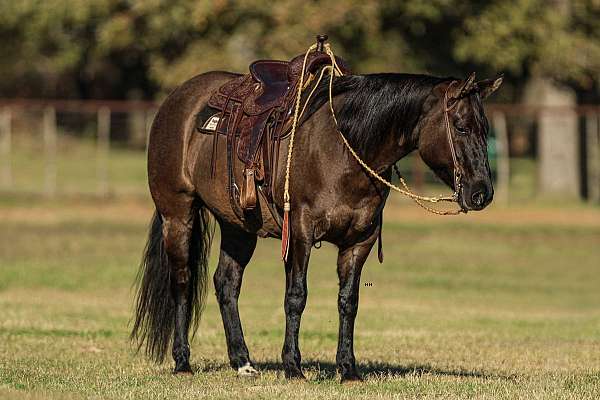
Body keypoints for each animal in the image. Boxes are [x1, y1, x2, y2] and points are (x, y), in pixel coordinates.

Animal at [130, 58, 502, 382]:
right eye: (460, 126)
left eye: (485, 129)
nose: (482, 193)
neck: (344, 146)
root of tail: (177, 100)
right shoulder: (300, 232)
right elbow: (296, 296)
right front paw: (293, 367)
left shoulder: (360, 240)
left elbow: (348, 302)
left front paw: (348, 369)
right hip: (178, 215)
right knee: (182, 281)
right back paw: (182, 361)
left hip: (238, 226)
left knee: (226, 283)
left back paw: (243, 362)